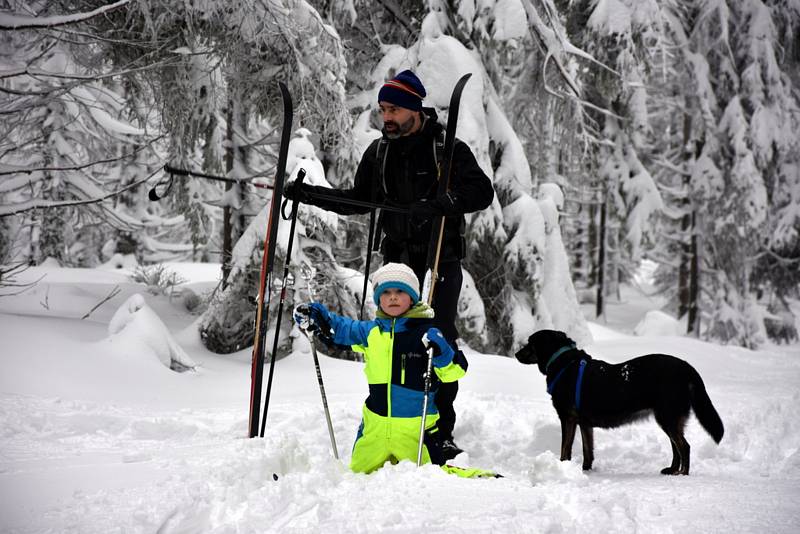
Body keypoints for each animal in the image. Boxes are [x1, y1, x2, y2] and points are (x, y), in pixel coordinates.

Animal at [516, 330, 720, 478]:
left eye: (530, 342)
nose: (516, 353)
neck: (564, 363)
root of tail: (687, 368)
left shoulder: (568, 418)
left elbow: (565, 449)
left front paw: (562, 467)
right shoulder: (584, 423)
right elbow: (588, 450)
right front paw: (585, 470)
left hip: (668, 417)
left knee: (684, 447)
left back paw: (682, 474)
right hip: (669, 418)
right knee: (676, 447)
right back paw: (671, 470)